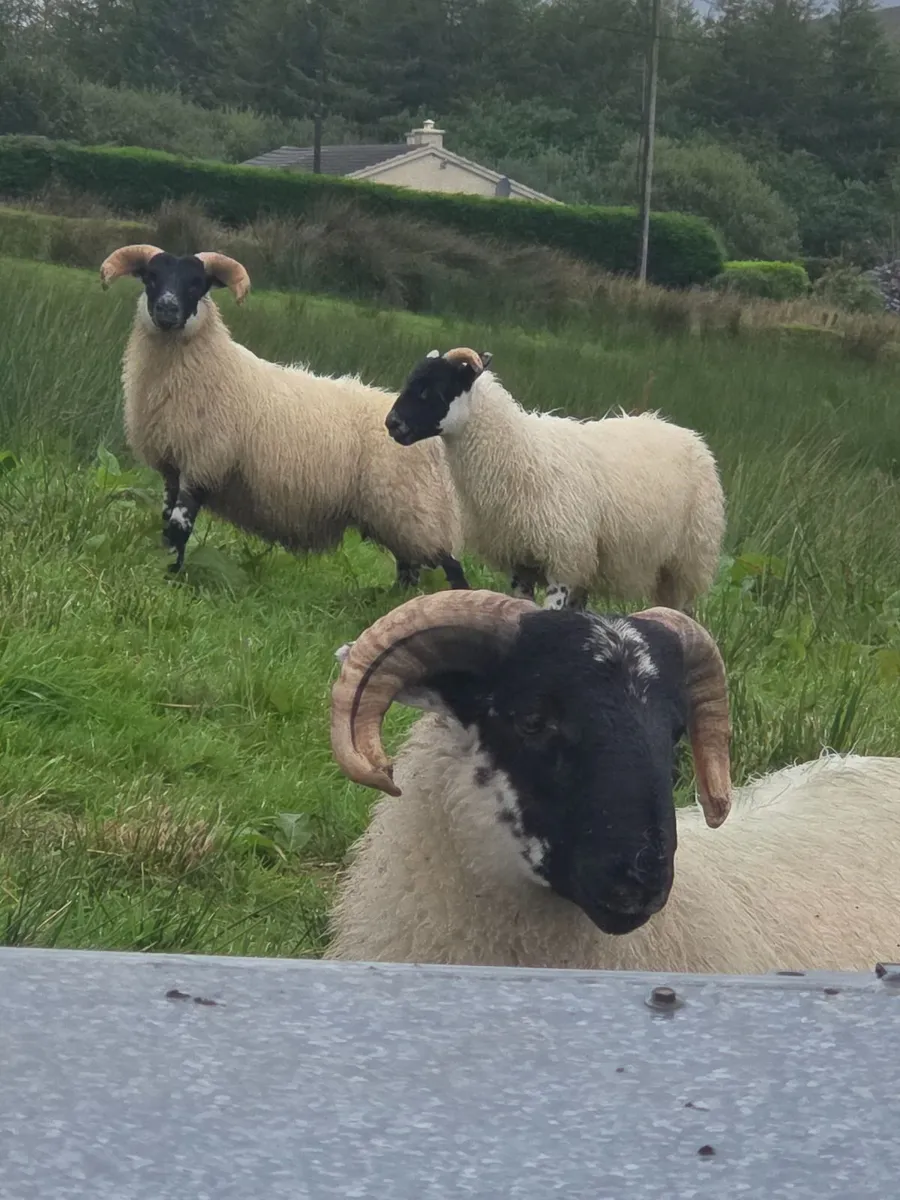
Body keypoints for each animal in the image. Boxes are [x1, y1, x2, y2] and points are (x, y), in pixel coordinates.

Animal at [97, 245, 469, 590]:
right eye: (151, 278)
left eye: (196, 284)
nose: (167, 309)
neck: (212, 364)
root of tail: (435, 437)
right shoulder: (172, 465)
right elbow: (166, 521)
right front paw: (164, 567)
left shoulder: (204, 461)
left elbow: (179, 526)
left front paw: (171, 577)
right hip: (405, 515)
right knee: (409, 567)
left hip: (414, 509)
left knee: (449, 564)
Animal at [384, 347, 725, 612]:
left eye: (433, 388)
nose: (392, 424)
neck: (517, 449)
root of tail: (688, 435)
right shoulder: (521, 559)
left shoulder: (563, 557)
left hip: (685, 561)